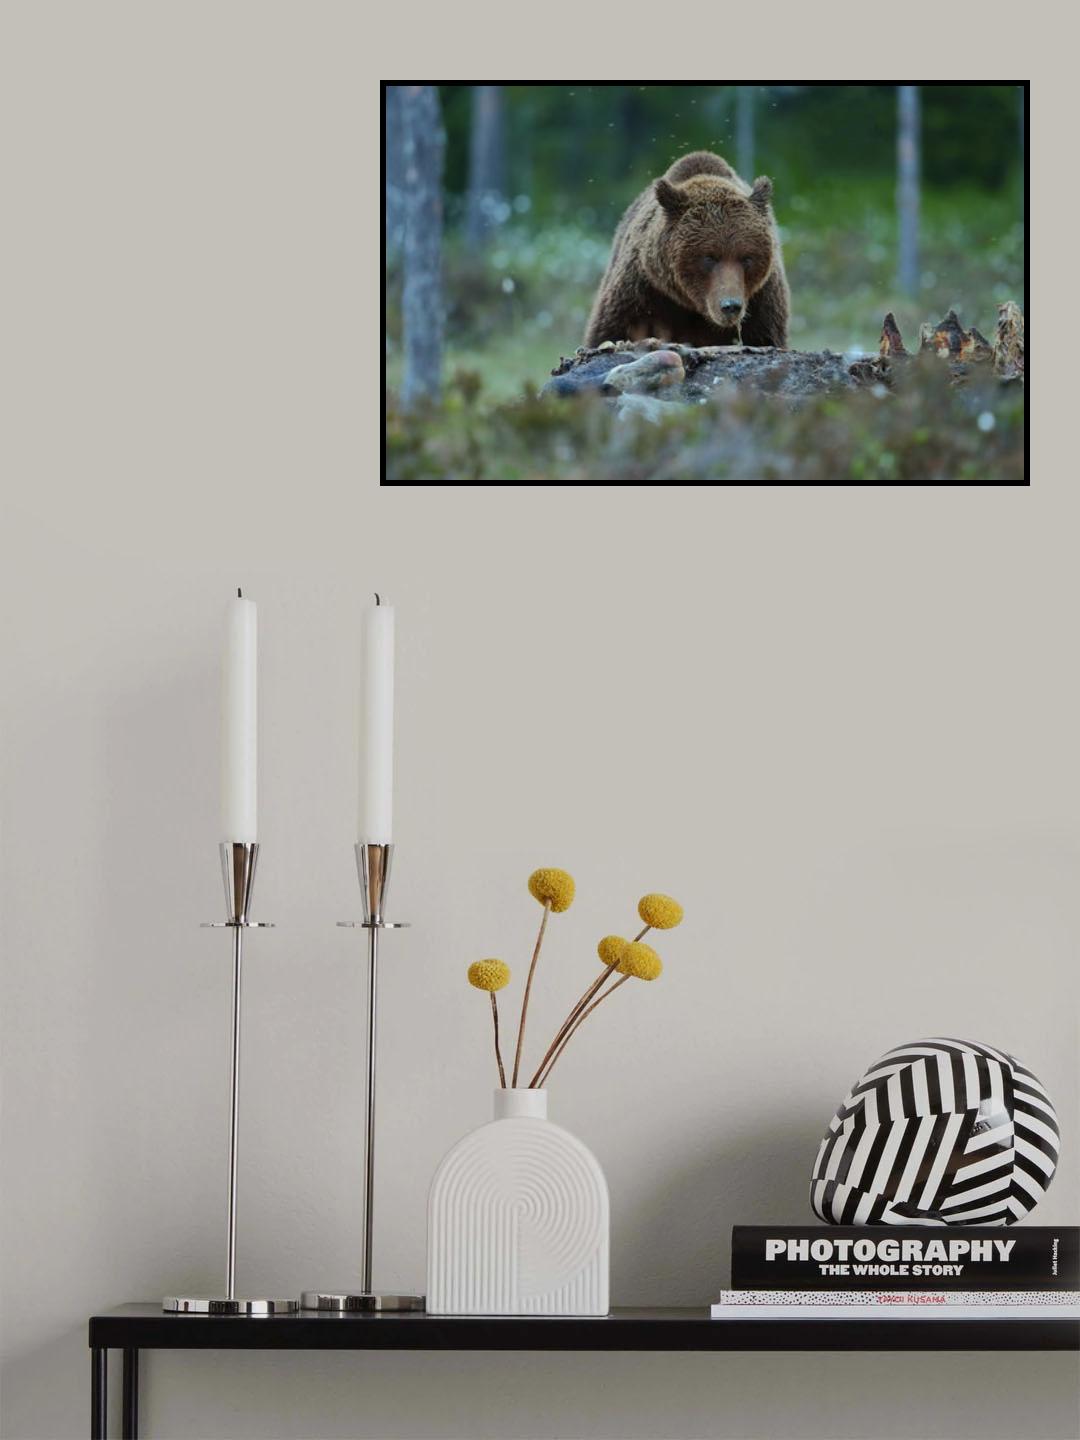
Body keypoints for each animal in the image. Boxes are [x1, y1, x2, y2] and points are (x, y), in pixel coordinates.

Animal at [584, 151, 789, 350]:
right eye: (709, 257)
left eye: (747, 258)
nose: (730, 306)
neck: (694, 306)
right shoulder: (641, 290)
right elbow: (609, 330)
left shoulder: (762, 300)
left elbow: (765, 336)